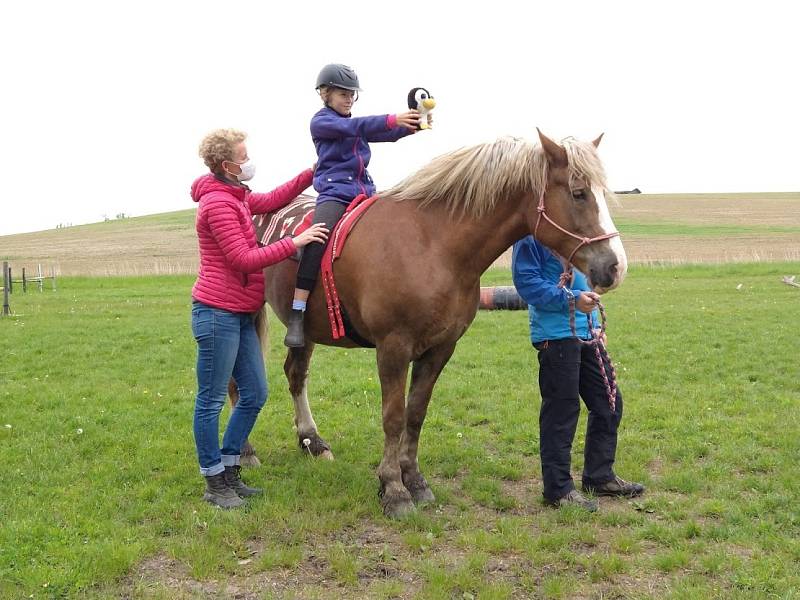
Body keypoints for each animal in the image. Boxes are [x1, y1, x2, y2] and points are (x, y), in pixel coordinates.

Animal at [231, 129, 624, 516]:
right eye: (578, 193)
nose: (615, 266)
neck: (433, 244)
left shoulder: (440, 348)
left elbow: (415, 414)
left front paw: (415, 481)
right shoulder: (393, 347)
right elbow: (393, 416)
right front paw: (393, 489)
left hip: (305, 329)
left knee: (295, 374)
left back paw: (311, 441)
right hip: (243, 317)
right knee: (239, 381)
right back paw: (245, 451)